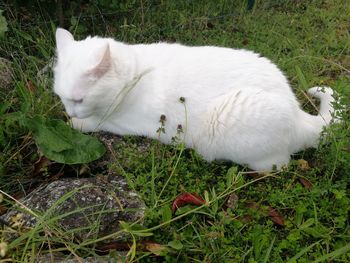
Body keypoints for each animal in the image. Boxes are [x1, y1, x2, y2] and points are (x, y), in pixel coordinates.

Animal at [53, 28, 338, 171]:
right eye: (61, 97)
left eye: (78, 100)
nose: (71, 111)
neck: (137, 72)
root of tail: (299, 116)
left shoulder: (127, 124)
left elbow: (98, 123)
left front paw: (75, 122)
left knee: (279, 165)